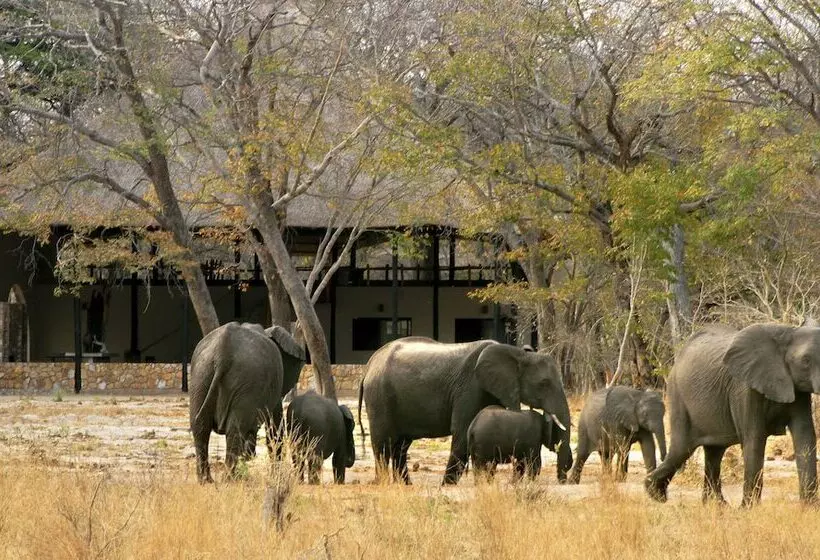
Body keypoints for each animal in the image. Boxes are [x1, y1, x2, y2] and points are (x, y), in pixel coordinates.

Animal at [189, 322, 306, 483]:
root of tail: (222, 352)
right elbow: (274, 428)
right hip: (244, 381)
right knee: (234, 430)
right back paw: (229, 479)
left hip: (201, 376)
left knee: (201, 427)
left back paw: (206, 480)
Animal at [358, 337, 572, 485]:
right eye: (544, 383)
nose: (564, 478)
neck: (516, 353)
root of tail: (369, 366)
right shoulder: (470, 388)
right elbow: (461, 432)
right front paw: (447, 486)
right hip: (379, 397)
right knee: (383, 444)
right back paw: (383, 483)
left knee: (400, 446)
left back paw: (406, 485)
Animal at [645, 322, 820, 506]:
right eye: (806, 361)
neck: (788, 332)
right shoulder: (744, 388)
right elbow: (754, 439)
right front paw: (748, 509)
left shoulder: (798, 390)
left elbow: (805, 436)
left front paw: (809, 507)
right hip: (678, 395)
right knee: (682, 448)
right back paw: (655, 494)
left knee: (713, 452)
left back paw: (716, 506)